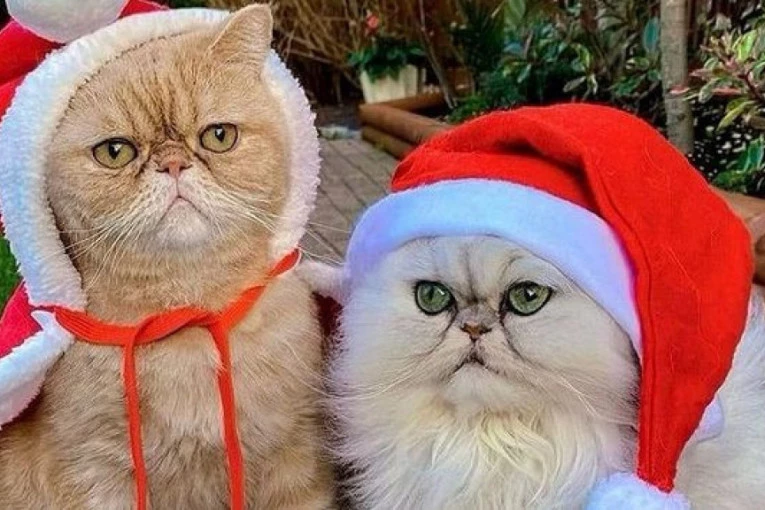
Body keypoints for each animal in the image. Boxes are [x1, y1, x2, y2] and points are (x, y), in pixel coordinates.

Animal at [0, 6, 334, 509]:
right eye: (115, 151)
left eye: (219, 136)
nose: (173, 163)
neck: (187, 315)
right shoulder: (96, 475)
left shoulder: (296, 462)